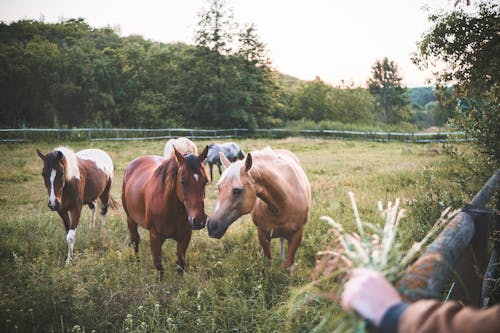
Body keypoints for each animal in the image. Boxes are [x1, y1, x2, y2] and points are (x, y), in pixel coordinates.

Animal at [123, 146, 209, 278]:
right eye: (182, 181)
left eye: (205, 181)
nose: (199, 220)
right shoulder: (155, 237)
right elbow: (159, 269)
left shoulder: (185, 237)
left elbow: (180, 265)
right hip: (130, 219)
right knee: (135, 241)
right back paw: (137, 264)